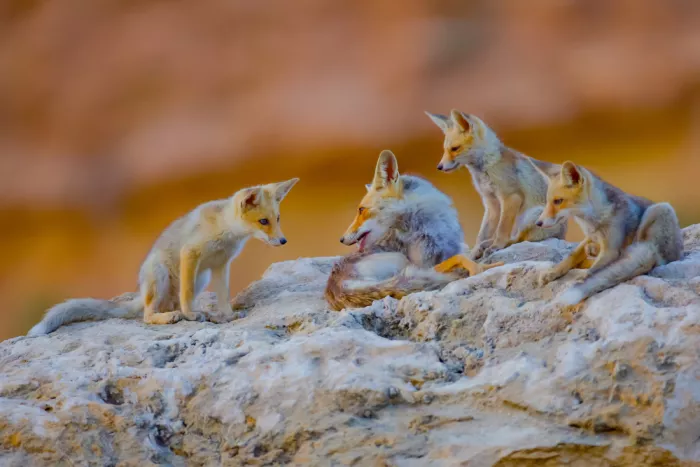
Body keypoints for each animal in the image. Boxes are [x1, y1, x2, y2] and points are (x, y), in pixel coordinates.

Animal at [28, 179, 299, 336]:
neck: (225, 230)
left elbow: (224, 298)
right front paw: (192, 316)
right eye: (262, 221)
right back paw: (172, 316)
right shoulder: (190, 253)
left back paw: (199, 314)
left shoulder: (220, 266)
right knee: (147, 316)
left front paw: (228, 316)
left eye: (277, 219)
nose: (283, 241)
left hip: (200, 278)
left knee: (169, 305)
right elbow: (186, 295)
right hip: (160, 274)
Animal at [325, 150, 502, 311]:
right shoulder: (425, 264)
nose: (341, 239)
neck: (429, 224)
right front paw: (478, 267)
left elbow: (461, 254)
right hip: (401, 260)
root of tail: (334, 286)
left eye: (361, 210)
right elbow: (459, 258)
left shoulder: (449, 248)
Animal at [425, 109, 567, 260]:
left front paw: (497, 246)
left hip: (531, 216)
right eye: (445, 150)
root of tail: (562, 236)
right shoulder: (491, 202)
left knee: (518, 239)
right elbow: (483, 233)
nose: (439, 167)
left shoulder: (511, 197)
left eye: (455, 148)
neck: (487, 168)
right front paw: (475, 251)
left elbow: (502, 229)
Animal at [529, 159, 683, 305]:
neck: (593, 221)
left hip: (660, 210)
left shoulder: (611, 250)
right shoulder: (590, 236)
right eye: (548, 202)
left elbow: (594, 271)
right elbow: (571, 256)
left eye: (558, 201)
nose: (538, 223)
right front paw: (553, 271)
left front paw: (583, 277)